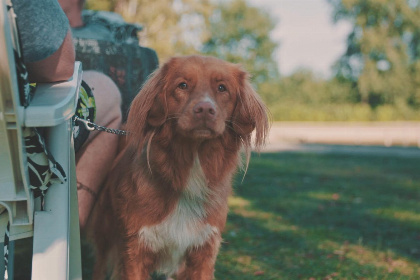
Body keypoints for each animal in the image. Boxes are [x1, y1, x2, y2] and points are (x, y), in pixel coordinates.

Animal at [88, 55, 270, 280]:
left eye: (222, 88)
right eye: (182, 85)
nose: (205, 109)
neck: (191, 168)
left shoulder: (204, 251)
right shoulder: (135, 250)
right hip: (105, 232)